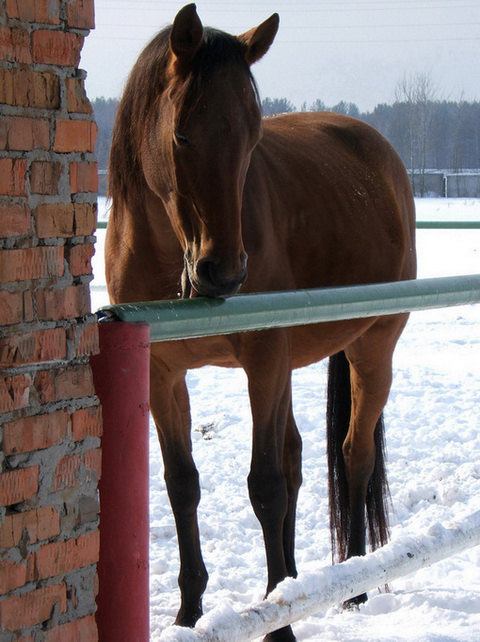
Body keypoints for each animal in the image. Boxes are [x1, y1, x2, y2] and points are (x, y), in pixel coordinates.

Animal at [106, 6, 416, 640]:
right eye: (181, 134)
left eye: (252, 136)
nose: (223, 272)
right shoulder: (162, 374)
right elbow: (183, 484)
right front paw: (190, 612)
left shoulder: (264, 358)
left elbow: (266, 486)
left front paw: (279, 619)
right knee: (299, 458)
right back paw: (306, 579)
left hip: (371, 349)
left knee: (353, 455)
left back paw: (353, 583)